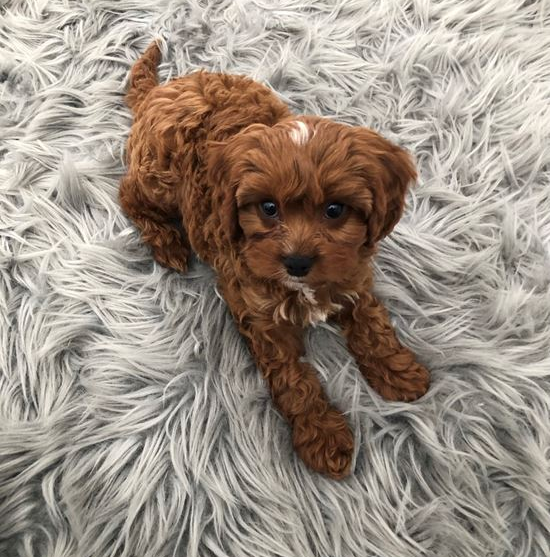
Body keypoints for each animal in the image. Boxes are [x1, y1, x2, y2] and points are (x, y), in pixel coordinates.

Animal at [119, 43, 432, 478]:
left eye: (335, 210)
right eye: (268, 208)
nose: (297, 263)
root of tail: (161, 91)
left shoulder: (352, 277)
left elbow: (373, 328)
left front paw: (399, 372)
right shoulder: (261, 317)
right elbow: (293, 378)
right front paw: (323, 436)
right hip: (158, 175)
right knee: (127, 194)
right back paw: (167, 243)